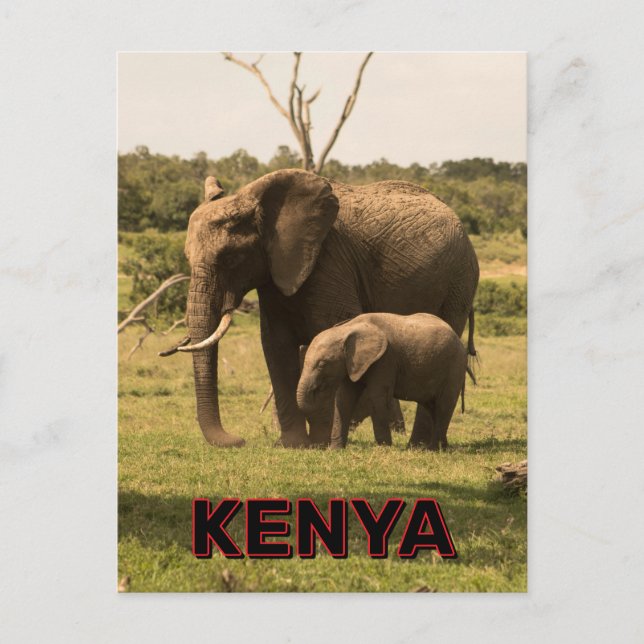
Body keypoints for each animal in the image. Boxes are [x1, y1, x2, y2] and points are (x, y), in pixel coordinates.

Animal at [296, 313, 468, 450]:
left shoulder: (385, 359)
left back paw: (434, 449)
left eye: (322, 364)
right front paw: (335, 450)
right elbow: (344, 399)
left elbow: (377, 396)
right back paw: (442, 447)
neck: (347, 329)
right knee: (432, 407)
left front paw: (384, 448)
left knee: (444, 405)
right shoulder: (352, 364)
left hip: (455, 367)